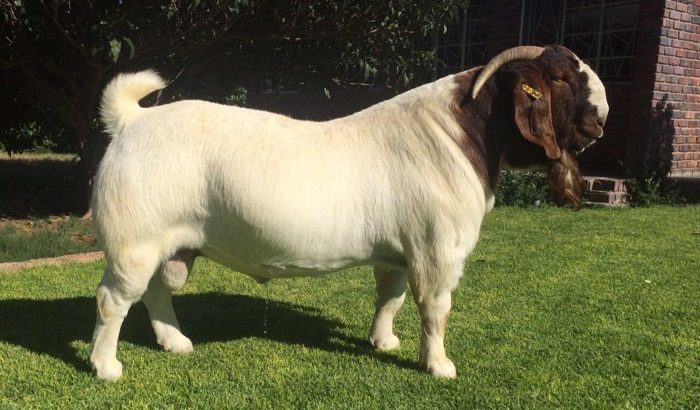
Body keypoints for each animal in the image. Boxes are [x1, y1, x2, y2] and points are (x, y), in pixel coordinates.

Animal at [89, 45, 608, 380]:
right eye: (559, 78)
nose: (601, 120)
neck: (459, 133)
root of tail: (131, 121)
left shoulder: (398, 250)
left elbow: (390, 298)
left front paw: (384, 343)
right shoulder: (436, 248)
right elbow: (435, 308)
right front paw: (439, 366)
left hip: (169, 242)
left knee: (157, 289)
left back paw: (175, 342)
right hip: (134, 238)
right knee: (114, 299)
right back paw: (106, 366)